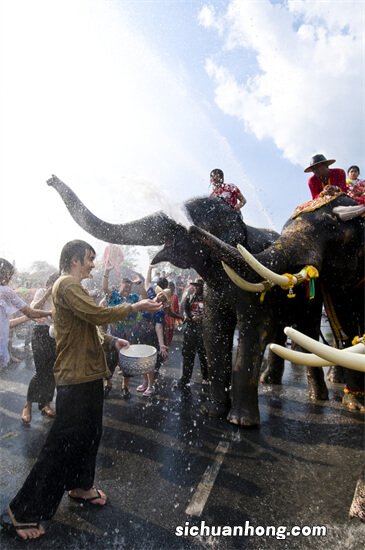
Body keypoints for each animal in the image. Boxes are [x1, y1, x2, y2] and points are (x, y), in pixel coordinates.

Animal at [47, 175, 280, 430]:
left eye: (191, 220)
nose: (50, 179)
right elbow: (213, 331)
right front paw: (213, 411)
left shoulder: (253, 278)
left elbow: (249, 329)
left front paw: (239, 422)